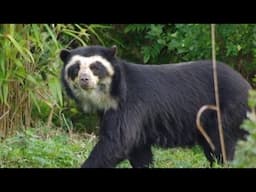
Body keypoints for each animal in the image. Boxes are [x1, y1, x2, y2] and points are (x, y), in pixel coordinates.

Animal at [59, 45, 250, 168]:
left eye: (95, 67)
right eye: (75, 68)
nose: (84, 79)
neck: (108, 95)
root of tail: (247, 86)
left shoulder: (128, 105)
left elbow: (117, 142)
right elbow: (138, 149)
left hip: (225, 110)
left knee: (221, 144)